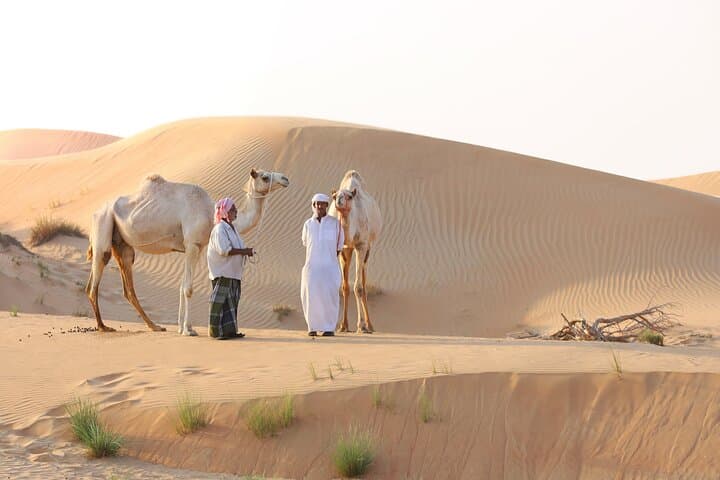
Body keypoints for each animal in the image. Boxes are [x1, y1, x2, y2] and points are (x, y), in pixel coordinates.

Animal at [86, 168, 289, 335]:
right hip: (103, 225)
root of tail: (95, 212)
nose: (285, 179)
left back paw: (154, 326)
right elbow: (189, 289)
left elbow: (183, 286)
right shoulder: (192, 244)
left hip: (122, 244)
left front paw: (183, 327)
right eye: (264, 176)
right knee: (95, 279)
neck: (210, 214)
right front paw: (188, 330)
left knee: (127, 286)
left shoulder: (195, 247)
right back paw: (103, 326)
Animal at [329, 170, 382, 333]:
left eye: (349, 197)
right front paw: (342, 326)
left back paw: (370, 325)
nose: (339, 201)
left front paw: (361, 325)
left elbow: (358, 287)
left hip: (367, 248)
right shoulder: (342, 249)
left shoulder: (361, 245)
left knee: (363, 282)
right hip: (350, 250)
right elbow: (344, 287)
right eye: (335, 196)